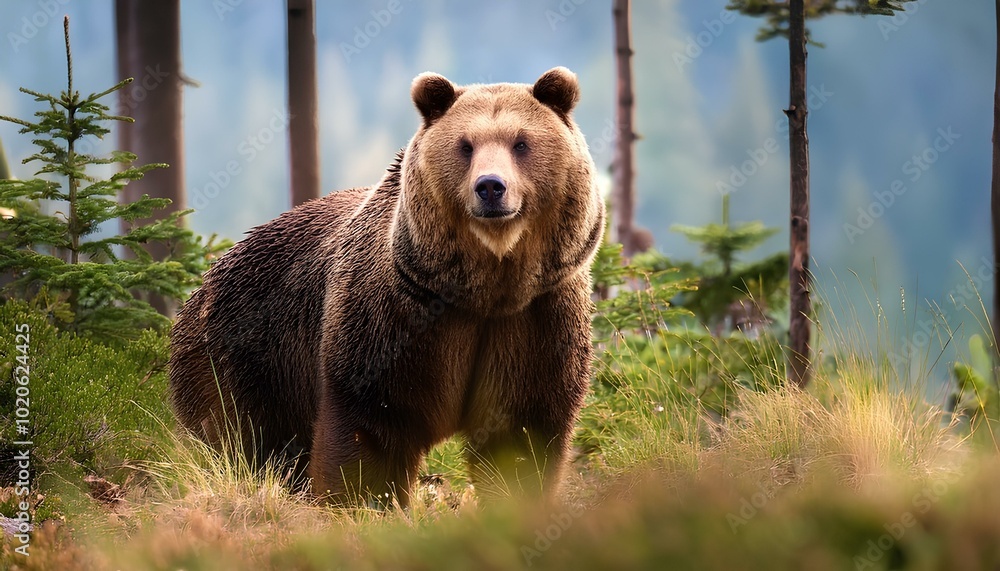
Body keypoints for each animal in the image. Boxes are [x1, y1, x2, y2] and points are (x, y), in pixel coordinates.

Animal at [168, 67, 605, 507]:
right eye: (465, 146)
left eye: (521, 142)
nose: (490, 187)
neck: (484, 290)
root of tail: (206, 279)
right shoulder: (394, 313)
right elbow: (373, 420)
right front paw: (360, 500)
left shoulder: (536, 316)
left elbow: (520, 429)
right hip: (246, 354)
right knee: (239, 435)